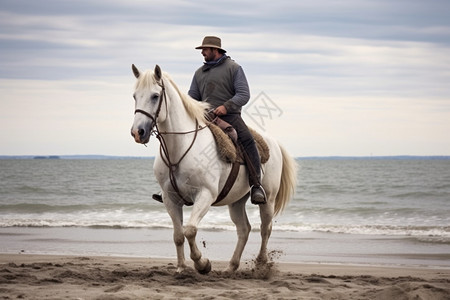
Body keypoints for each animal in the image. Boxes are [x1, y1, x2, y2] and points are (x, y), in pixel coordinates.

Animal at [130, 64, 298, 274]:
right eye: (135, 96)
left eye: (154, 96)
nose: (138, 132)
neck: (179, 149)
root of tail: (274, 143)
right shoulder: (170, 199)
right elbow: (178, 235)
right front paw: (181, 268)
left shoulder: (205, 195)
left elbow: (190, 230)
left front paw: (202, 264)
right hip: (236, 201)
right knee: (244, 229)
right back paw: (232, 266)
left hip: (268, 198)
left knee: (265, 228)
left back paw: (260, 263)